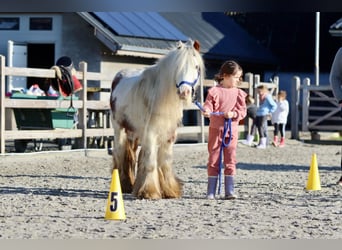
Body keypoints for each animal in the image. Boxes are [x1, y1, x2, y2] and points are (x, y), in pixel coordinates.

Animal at [111, 39, 204, 199]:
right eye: (177, 68)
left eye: (196, 66)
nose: (184, 92)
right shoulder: (151, 133)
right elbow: (150, 162)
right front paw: (149, 191)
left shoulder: (169, 136)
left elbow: (164, 162)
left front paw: (169, 190)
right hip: (119, 128)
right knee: (120, 153)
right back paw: (124, 184)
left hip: (133, 132)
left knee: (131, 154)